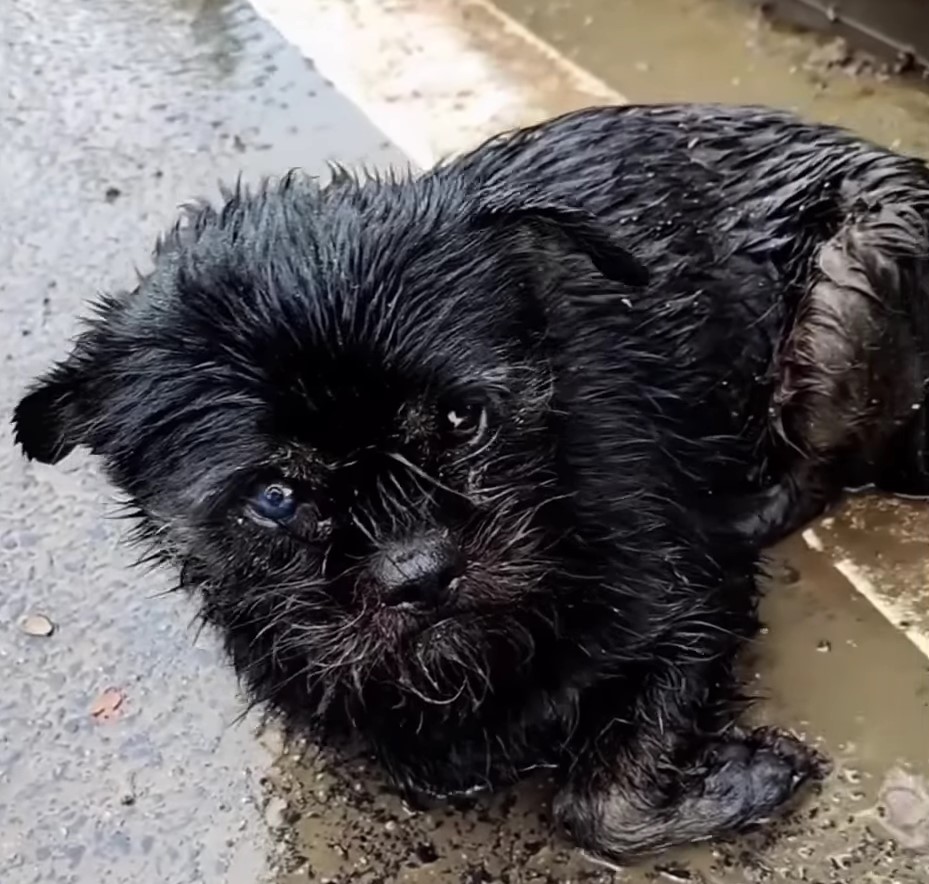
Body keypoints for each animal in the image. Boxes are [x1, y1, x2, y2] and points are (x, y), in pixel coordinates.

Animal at [12, 102, 928, 856]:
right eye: (274, 499)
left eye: (461, 421)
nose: (419, 573)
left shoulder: (694, 606)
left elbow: (597, 805)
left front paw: (750, 779)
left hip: (853, 272)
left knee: (818, 470)